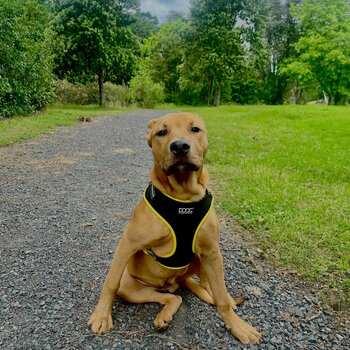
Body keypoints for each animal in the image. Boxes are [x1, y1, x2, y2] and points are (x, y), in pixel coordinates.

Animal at [87, 113, 262, 344]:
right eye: (161, 132)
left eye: (195, 129)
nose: (179, 146)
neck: (183, 198)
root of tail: (174, 281)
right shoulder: (127, 244)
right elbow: (110, 282)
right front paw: (101, 316)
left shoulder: (212, 251)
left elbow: (221, 298)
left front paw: (237, 326)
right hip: (133, 288)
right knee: (173, 297)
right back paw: (164, 315)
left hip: (202, 259)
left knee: (203, 285)